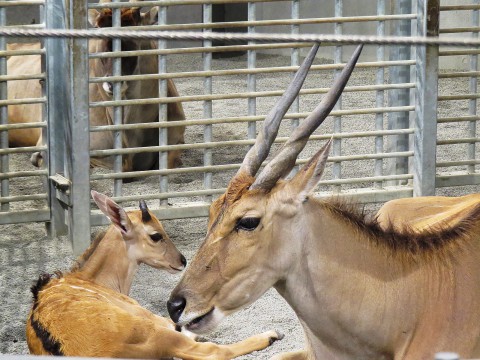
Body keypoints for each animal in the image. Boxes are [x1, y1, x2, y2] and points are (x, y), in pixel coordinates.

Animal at [26, 190, 282, 358]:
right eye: (156, 235)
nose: (182, 260)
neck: (90, 279)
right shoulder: (149, 315)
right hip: (155, 332)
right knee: (214, 351)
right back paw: (269, 335)